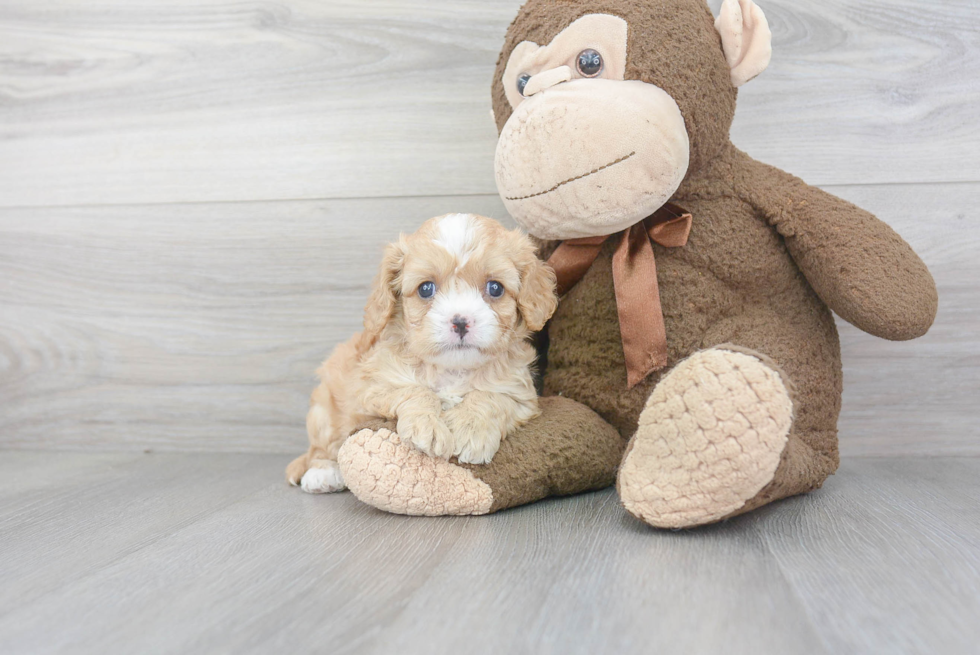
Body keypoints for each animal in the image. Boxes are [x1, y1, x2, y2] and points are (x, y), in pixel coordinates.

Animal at [286, 213, 560, 494]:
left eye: (495, 288)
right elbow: (414, 390)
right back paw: (322, 473)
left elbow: (491, 397)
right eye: (426, 289)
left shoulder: (520, 394)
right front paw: (428, 427)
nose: (460, 322)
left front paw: (472, 429)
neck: (452, 370)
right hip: (324, 410)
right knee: (322, 447)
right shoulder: (372, 387)